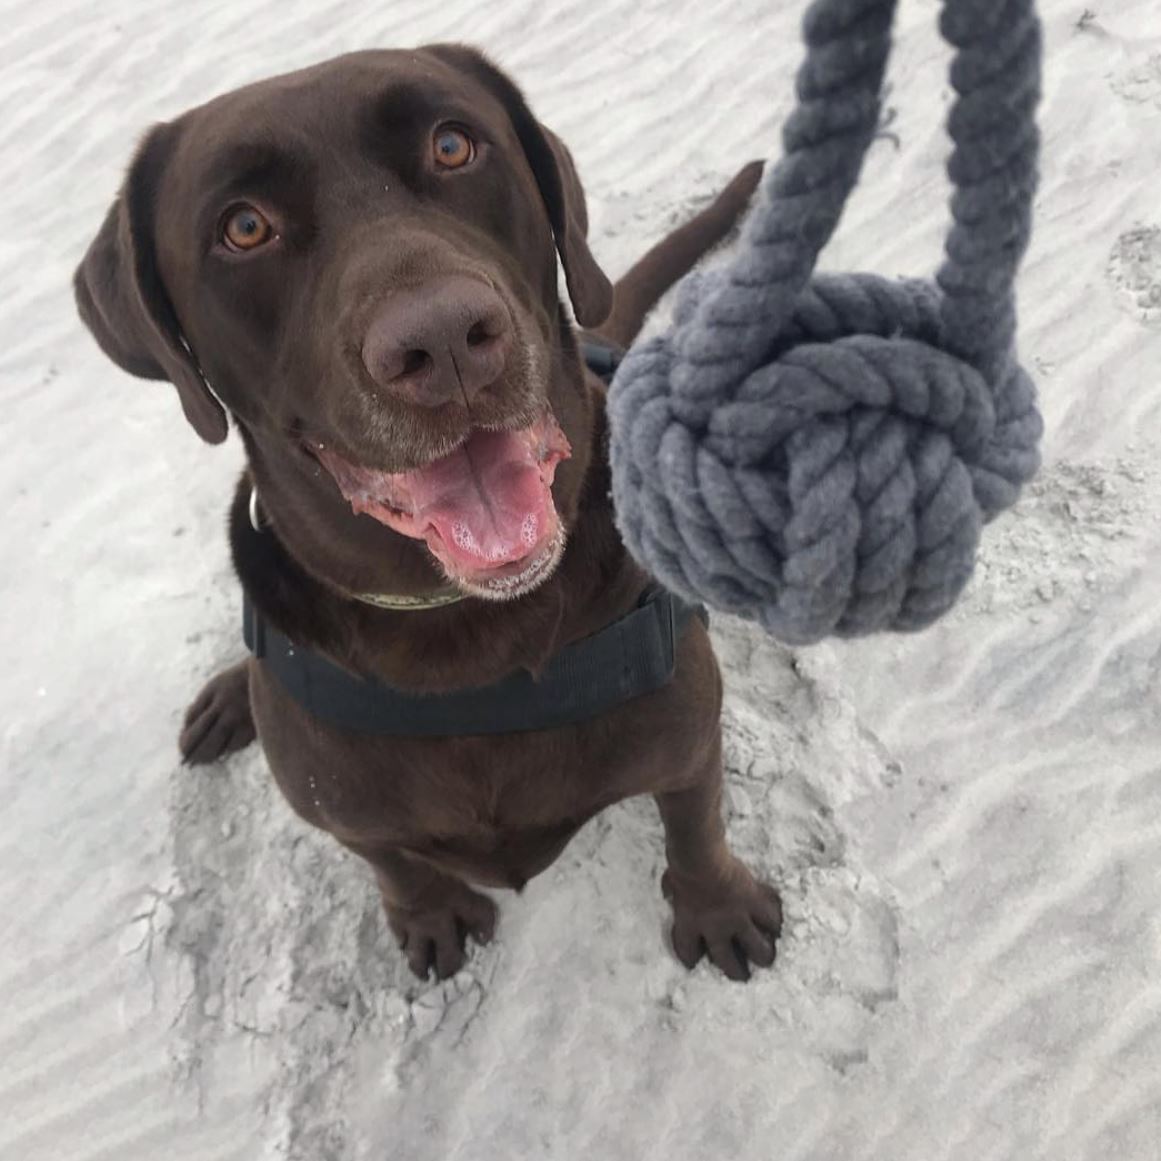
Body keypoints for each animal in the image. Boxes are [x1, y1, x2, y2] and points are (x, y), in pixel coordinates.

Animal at [75, 44, 782, 982]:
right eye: (244, 227)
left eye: (452, 146)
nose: (443, 339)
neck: (463, 633)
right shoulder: (339, 802)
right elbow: (389, 858)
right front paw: (431, 912)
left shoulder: (687, 730)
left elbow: (695, 823)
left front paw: (717, 906)